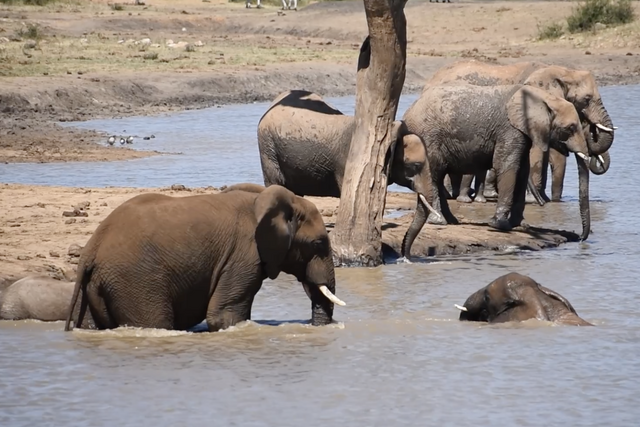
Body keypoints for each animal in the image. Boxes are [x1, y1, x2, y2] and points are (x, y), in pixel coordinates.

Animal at [64, 183, 345, 333]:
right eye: (318, 243)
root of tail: (91, 250)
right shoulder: (243, 255)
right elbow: (225, 316)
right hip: (135, 281)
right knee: (155, 322)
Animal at [401, 84, 592, 257]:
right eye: (570, 128)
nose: (581, 238)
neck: (544, 97)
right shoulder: (510, 130)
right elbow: (507, 166)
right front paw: (500, 225)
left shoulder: (522, 132)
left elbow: (522, 171)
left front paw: (520, 225)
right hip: (428, 137)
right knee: (434, 174)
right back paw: (439, 221)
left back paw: (452, 221)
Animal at [425, 60, 615, 203]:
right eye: (587, 99)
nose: (592, 128)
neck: (562, 71)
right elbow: (543, 154)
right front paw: (540, 201)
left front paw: (544, 199)